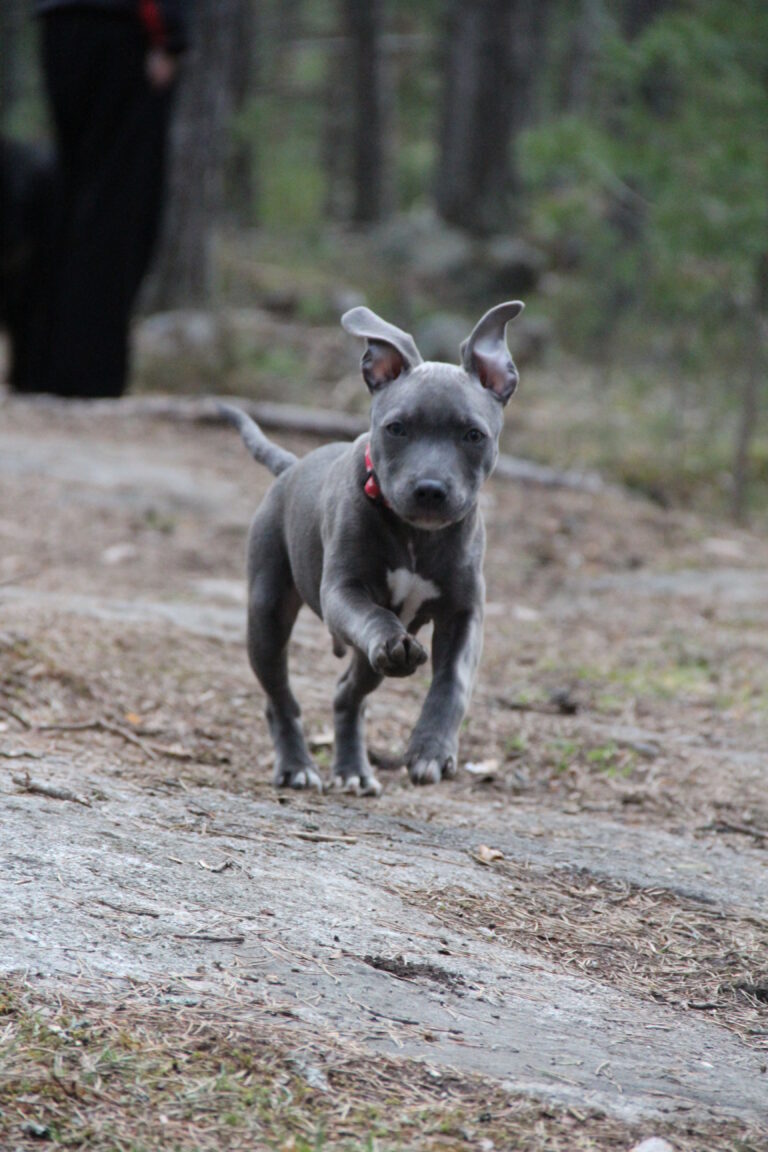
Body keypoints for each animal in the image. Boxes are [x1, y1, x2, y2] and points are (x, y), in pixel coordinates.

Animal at [218, 301, 525, 797]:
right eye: (396, 428)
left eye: (473, 435)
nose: (430, 489)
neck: (416, 535)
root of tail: (292, 465)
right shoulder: (343, 592)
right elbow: (374, 615)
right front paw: (388, 637)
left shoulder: (464, 613)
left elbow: (453, 683)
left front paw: (431, 750)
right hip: (266, 615)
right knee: (279, 696)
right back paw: (296, 766)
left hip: (361, 662)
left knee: (348, 695)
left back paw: (353, 770)